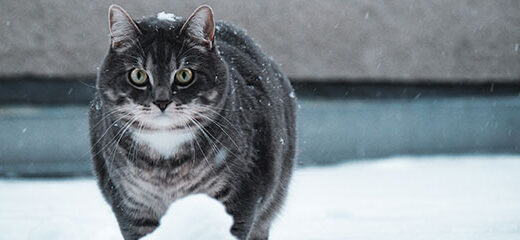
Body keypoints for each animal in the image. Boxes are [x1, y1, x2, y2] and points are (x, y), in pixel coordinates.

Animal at [89, 3, 296, 240]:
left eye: (185, 75)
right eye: (138, 75)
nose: (161, 101)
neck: (166, 159)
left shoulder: (240, 195)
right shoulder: (130, 205)